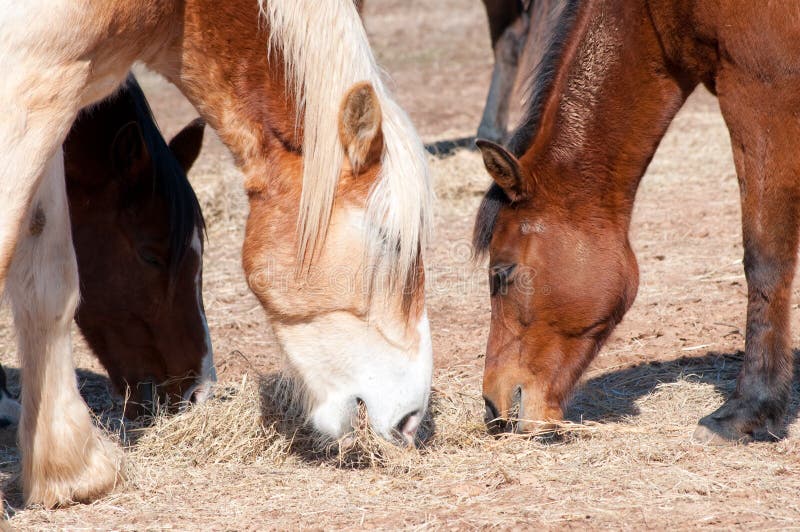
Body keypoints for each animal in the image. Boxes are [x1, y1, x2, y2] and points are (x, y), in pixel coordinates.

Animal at [474, 0, 800, 444]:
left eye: (502, 273)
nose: (493, 409)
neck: (652, 13)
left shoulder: (762, 90)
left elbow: (765, 255)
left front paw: (748, 410)